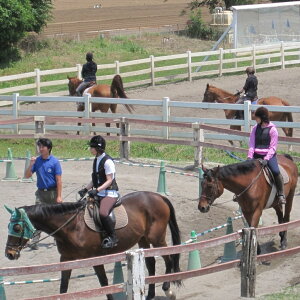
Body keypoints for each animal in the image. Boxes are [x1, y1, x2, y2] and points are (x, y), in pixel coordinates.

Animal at [4, 192, 182, 300]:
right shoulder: (66, 259)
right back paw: (151, 294)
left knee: (169, 258)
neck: (72, 226)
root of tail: (158, 196)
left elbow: (104, 283)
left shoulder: (94, 258)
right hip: (143, 239)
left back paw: (167, 288)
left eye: (17, 228)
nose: (9, 254)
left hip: (157, 238)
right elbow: (64, 285)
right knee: (151, 262)